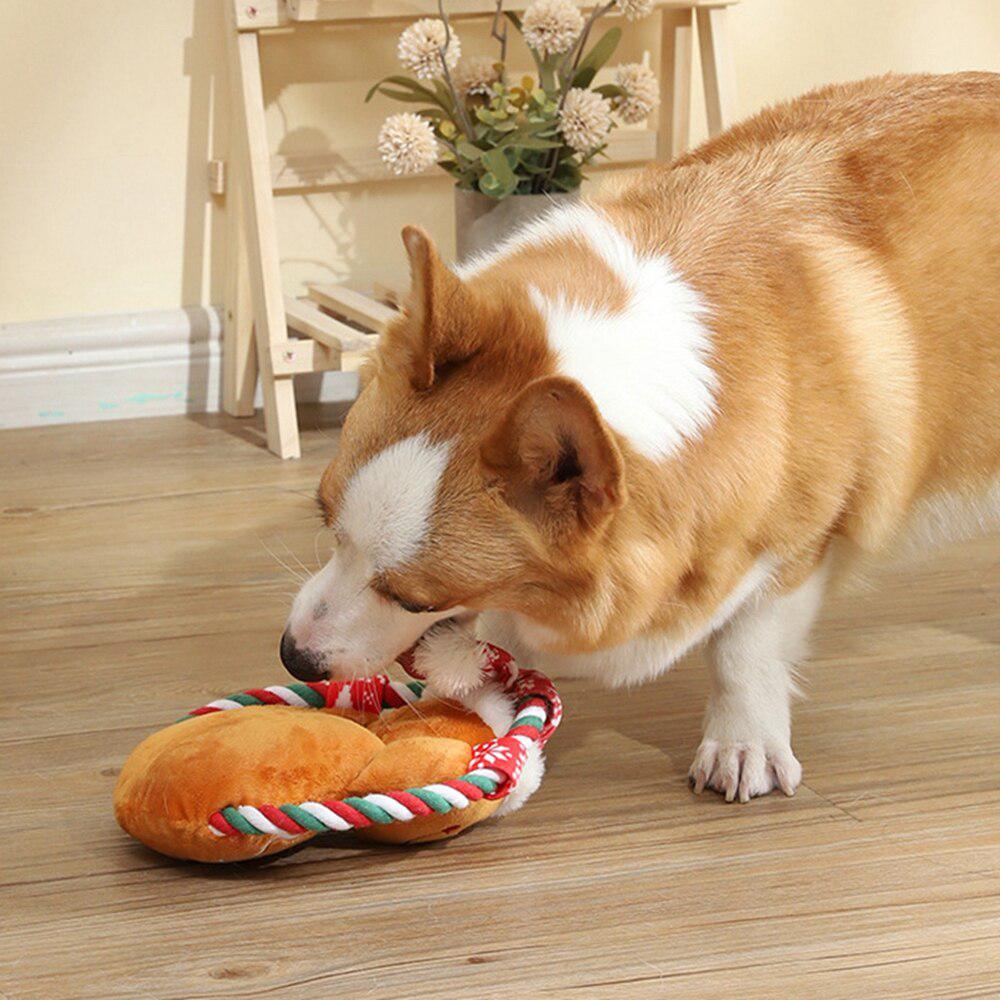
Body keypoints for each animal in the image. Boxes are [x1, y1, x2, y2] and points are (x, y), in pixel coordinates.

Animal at [282, 72, 1000, 804]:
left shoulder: (797, 543)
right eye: (325, 519)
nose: (292, 656)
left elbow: (744, 647)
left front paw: (742, 745)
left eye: (415, 598)